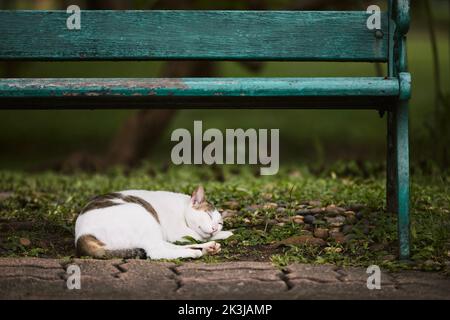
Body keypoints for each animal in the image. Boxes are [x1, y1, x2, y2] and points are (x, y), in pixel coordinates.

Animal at [74, 186, 232, 258]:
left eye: (219, 223)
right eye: (208, 215)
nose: (214, 228)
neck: (182, 207)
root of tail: (81, 236)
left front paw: (223, 233)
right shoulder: (179, 233)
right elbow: (198, 235)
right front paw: (226, 234)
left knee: (167, 246)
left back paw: (206, 248)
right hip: (144, 217)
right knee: (156, 252)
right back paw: (194, 253)